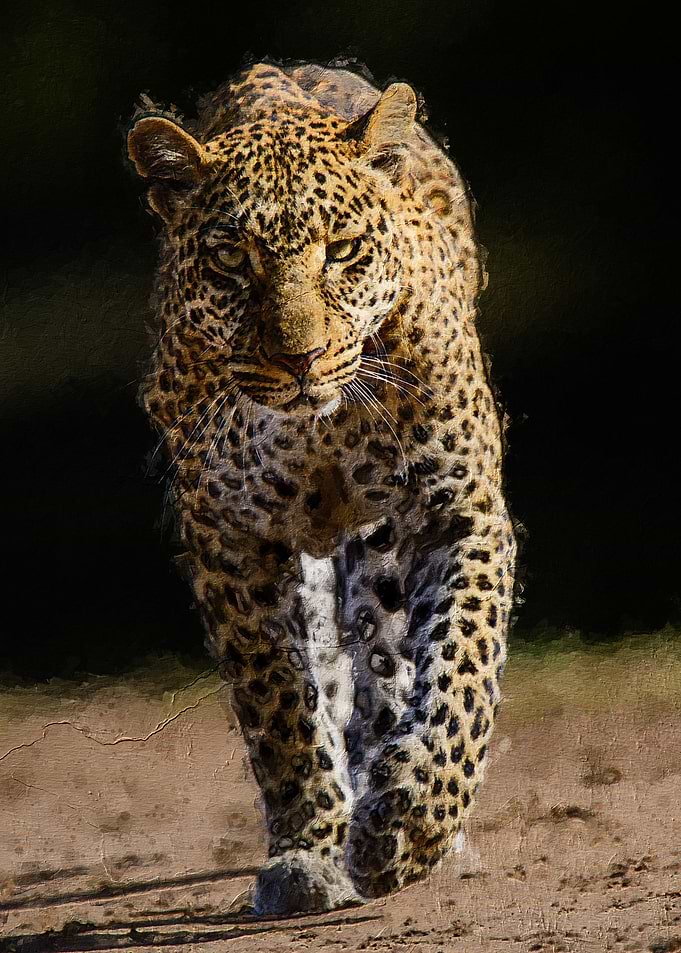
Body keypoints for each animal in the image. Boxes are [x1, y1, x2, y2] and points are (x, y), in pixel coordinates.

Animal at [127, 60, 517, 916]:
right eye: (231, 261)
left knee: (389, 657)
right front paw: (307, 849)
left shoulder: (457, 511)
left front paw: (413, 821)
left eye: (340, 251)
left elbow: (461, 671)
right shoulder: (231, 539)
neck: (321, 430)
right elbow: (279, 702)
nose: (299, 358)